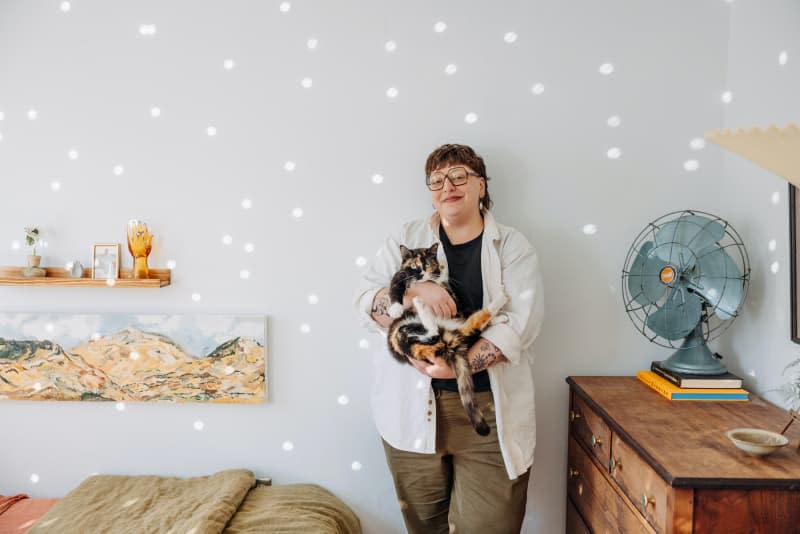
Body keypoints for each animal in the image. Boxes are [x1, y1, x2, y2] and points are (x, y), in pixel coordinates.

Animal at [384, 245, 504, 438]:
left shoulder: (450, 293)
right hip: (401, 335)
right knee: (437, 332)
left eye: (427, 264)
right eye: (414, 266)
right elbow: (395, 287)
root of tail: (449, 340)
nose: (421, 275)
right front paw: (395, 308)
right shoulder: (400, 275)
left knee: (463, 326)